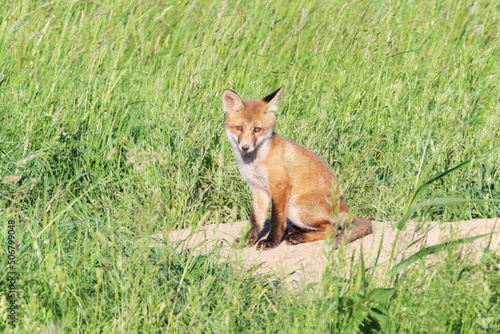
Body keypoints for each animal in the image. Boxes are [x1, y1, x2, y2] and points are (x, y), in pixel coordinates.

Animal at [222, 87, 372, 249]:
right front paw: (249, 240)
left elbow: (276, 220)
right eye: (239, 128)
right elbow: (255, 221)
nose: (245, 147)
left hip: (294, 204)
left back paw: (298, 237)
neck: (257, 159)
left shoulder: (280, 187)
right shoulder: (258, 189)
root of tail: (345, 210)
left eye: (257, 129)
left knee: (332, 229)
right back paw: (295, 230)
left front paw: (271, 241)